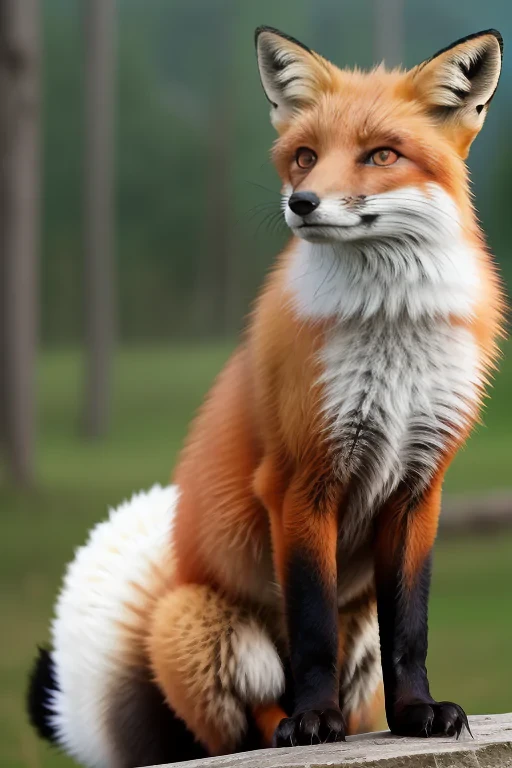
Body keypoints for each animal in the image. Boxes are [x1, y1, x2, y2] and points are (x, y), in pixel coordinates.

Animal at [28, 26, 504, 768]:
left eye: (381, 155)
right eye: (305, 157)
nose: (301, 202)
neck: (391, 334)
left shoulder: (420, 488)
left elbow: (411, 627)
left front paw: (417, 713)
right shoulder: (300, 482)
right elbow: (310, 630)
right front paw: (312, 722)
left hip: (358, 636)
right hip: (197, 627)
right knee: (234, 731)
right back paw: (288, 724)